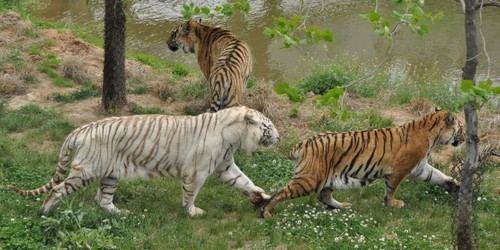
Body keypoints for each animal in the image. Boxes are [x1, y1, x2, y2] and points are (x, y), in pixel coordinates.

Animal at [7, 106, 280, 216]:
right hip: (87, 171)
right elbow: (191, 194)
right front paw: (191, 212)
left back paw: (121, 214)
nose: (280, 138)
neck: (235, 138)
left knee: (103, 200)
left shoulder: (225, 166)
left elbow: (245, 181)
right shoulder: (196, 172)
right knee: (57, 189)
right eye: (268, 127)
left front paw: (263, 196)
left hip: (110, 174)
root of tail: (81, 129)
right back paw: (45, 212)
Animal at [262, 108, 464, 218]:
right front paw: (392, 204)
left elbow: (438, 176)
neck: (433, 135)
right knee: (280, 192)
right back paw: (265, 213)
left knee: (323, 196)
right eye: (461, 128)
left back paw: (343, 207)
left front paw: (456, 186)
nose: (464, 138)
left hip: (329, 179)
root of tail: (304, 142)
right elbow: (391, 189)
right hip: (309, 180)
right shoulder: (400, 170)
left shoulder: (420, 168)